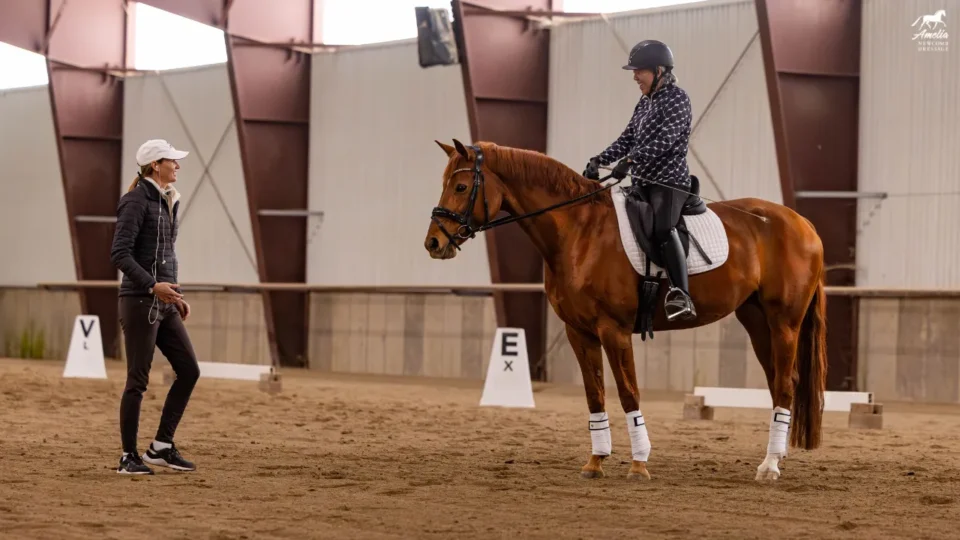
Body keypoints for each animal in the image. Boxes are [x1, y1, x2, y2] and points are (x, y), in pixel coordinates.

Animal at [423, 139, 827, 482]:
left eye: (461, 187)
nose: (434, 243)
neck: (579, 233)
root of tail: (803, 223)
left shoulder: (613, 329)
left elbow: (628, 392)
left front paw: (638, 464)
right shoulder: (579, 331)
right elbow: (594, 394)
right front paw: (595, 461)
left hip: (784, 322)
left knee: (784, 384)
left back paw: (770, 466)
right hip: (756, 321)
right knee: (778, 382)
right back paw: (775, 457)